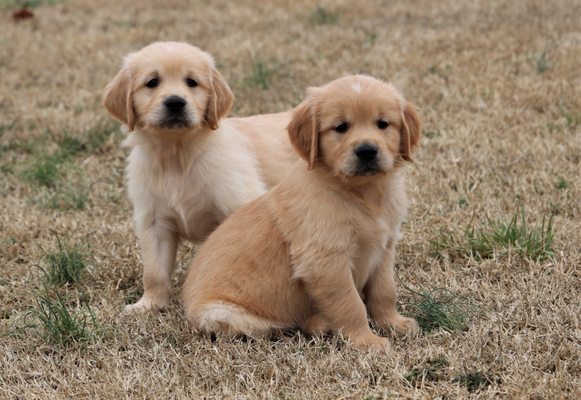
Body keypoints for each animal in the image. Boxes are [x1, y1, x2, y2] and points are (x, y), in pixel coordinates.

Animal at [100, 43, 296, 312]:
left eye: (192, 82)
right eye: (152, 82)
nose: (175, 102)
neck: (177, 157)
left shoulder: (238, 204)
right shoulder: (153, 221)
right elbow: (154, 271)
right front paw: (149, 305)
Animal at [181, 74, 422, 350]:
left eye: (383, 124)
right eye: (341, 127)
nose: (367, 151)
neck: (362, 193)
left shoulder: (384, 249)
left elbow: (384, 292)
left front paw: (394, 324)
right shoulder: (325, 262)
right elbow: (350, 304)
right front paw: (366, 340)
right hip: (222, 314)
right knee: (280, 325)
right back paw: (319, 323)